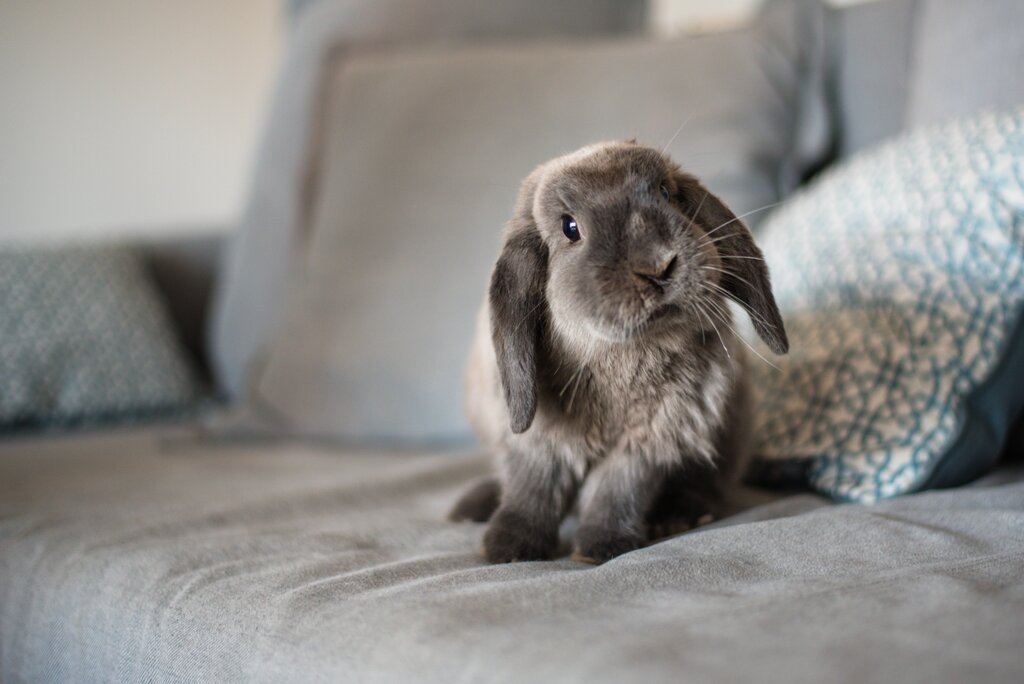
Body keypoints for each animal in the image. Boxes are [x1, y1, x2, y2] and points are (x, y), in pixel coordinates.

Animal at [450, 140, 788, 564]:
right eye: (570, 227)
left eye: (666, 193)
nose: (658, 266)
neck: (621, 355)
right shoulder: (538, 442)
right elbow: (533, 488)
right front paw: (507, 548)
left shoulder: (649, 441)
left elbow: (616, 489)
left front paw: (602, 547)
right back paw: (471, 507)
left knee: (708, 485)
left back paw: (679, 516)